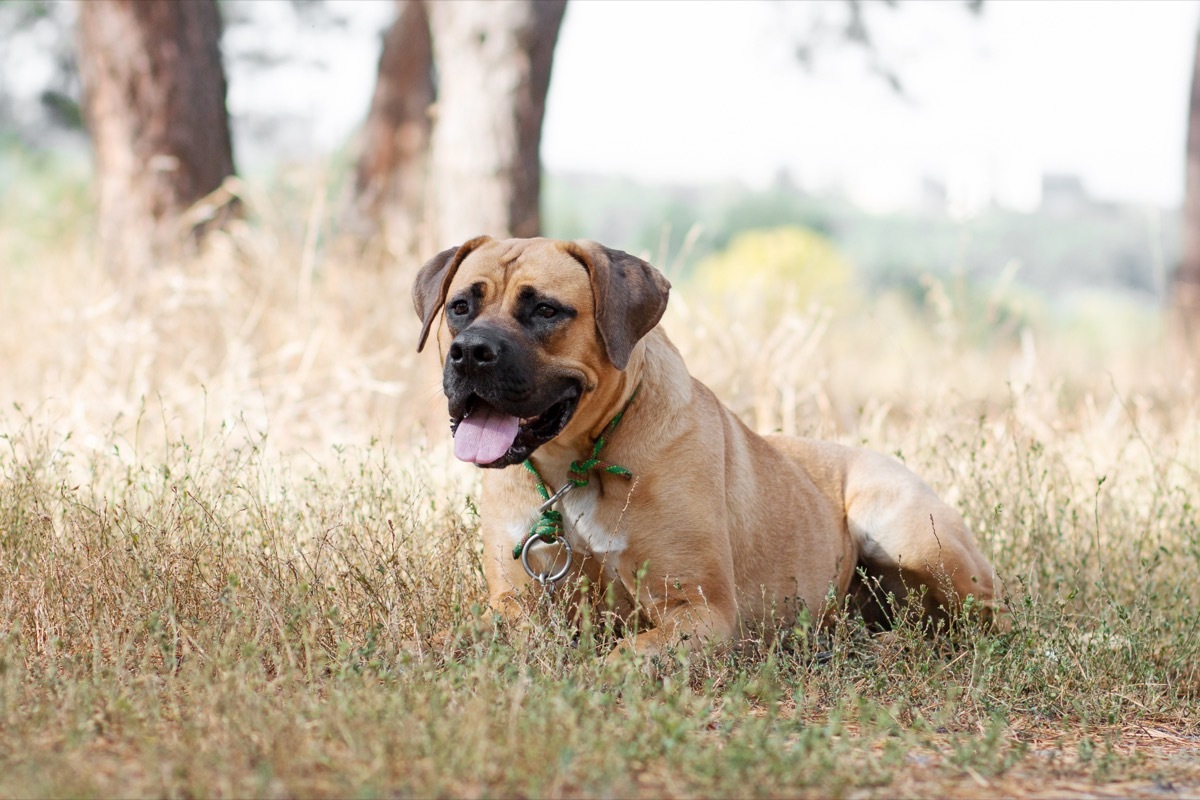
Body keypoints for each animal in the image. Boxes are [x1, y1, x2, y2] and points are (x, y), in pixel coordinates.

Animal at [412, 236, 1003, 662]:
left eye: (546, 311)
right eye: (460, 306)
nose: (471, 352)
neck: (573, 464)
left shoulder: (700, 610)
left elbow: (625, 656)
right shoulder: (515, 603)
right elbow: (455, 634)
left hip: (912, 538)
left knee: (983, 622)